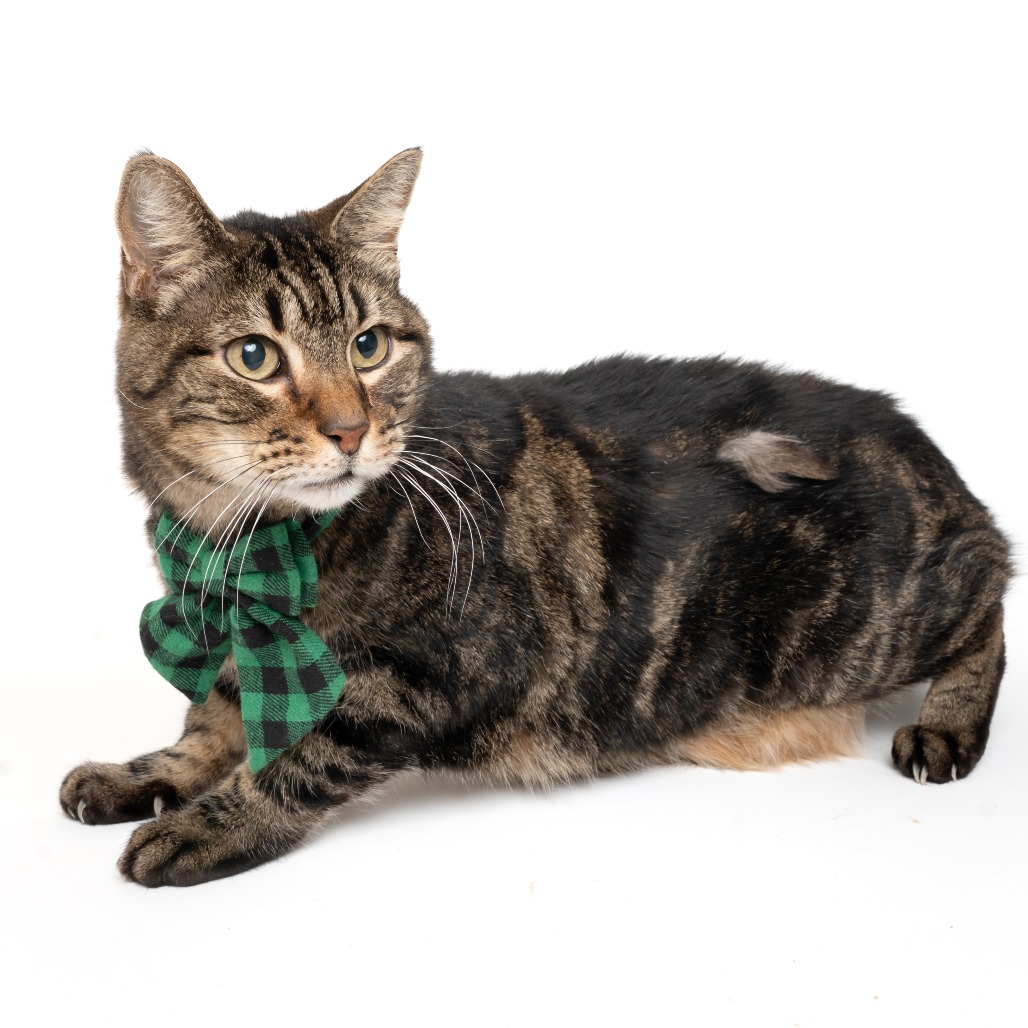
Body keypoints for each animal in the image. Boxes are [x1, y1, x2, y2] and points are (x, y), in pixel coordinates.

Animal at [60, 149, 1011, 887]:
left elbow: (303, 753)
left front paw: (212, 822)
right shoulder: (231, 630)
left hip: (870, 618)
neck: (244, 546)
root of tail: (914, 437)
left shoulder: (437, 671)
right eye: (255, 357)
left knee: (993, 583)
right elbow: (213, 714)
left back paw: (947, 721)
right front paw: (148, 773)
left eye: (369, 346)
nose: (350, 429)